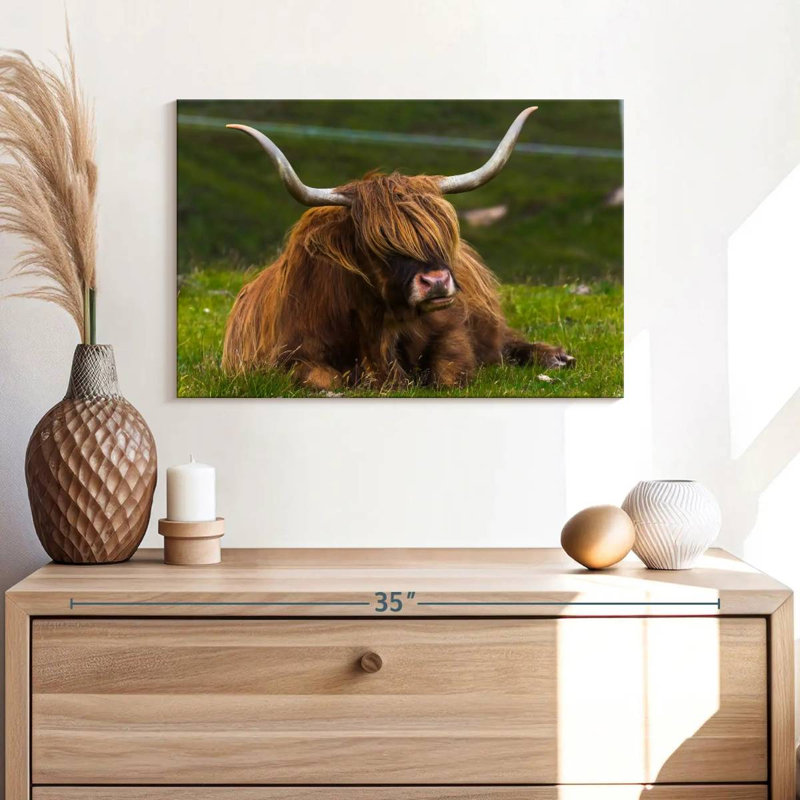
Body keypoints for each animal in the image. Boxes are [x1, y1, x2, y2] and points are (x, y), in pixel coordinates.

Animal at [222, 107, 575, 390]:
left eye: (440, 234)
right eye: (377, 244)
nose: (436, 282)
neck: (379, 328)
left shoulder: (453, 331)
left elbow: (450, 372)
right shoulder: (290, 356)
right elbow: (323, 380)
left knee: (506, 340)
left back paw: (557, 357)